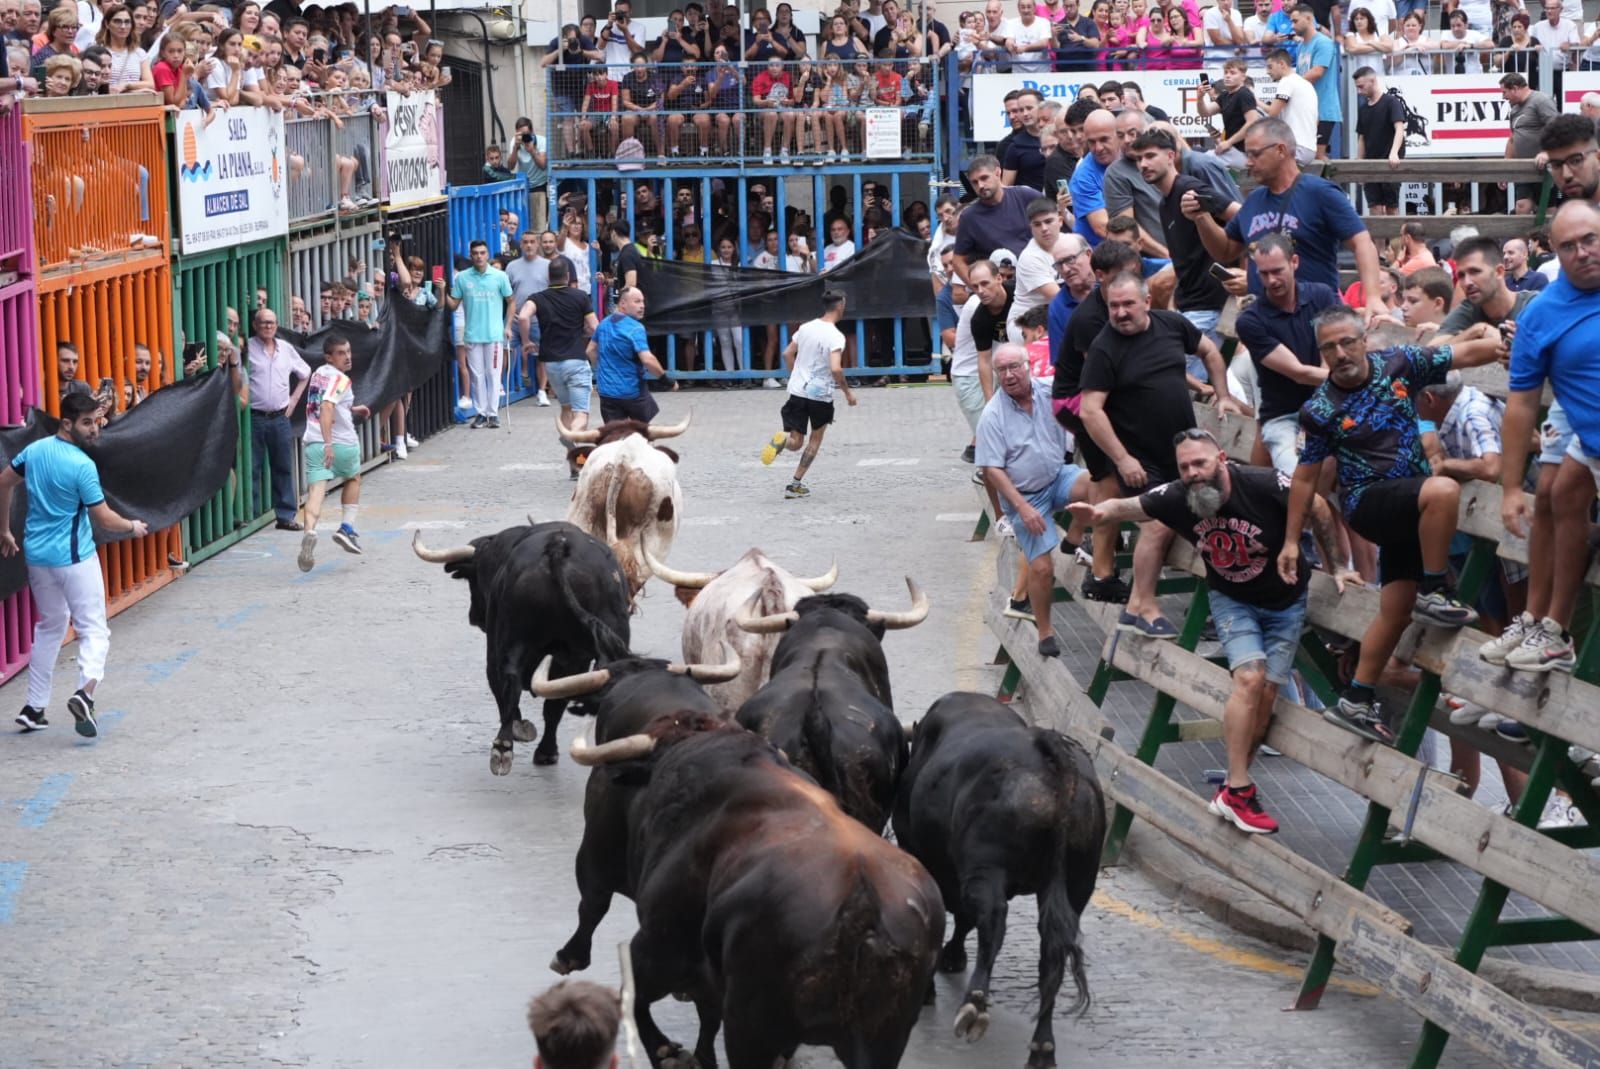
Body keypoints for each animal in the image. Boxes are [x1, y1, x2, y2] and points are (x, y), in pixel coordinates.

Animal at [409, 521, 627, 771]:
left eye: (474, 578)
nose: (474, 617)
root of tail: (558, 546)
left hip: (508, 641)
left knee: (509, 683)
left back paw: (505, 745)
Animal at [569, 713, 940, 1069]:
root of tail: (862, 905)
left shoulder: (659, 945)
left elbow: (632, 997)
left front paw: (669, 1055)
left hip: (750, 1028)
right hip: (880, 1041)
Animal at [896, 694, 1107, 1069]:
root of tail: (1047, 751)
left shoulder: (919, 852)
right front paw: (952, 958)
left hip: (987, 867)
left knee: (993, 918)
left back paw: (975, 1002)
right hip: (1077, 883)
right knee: (1050, 953)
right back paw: (1042, 1047)